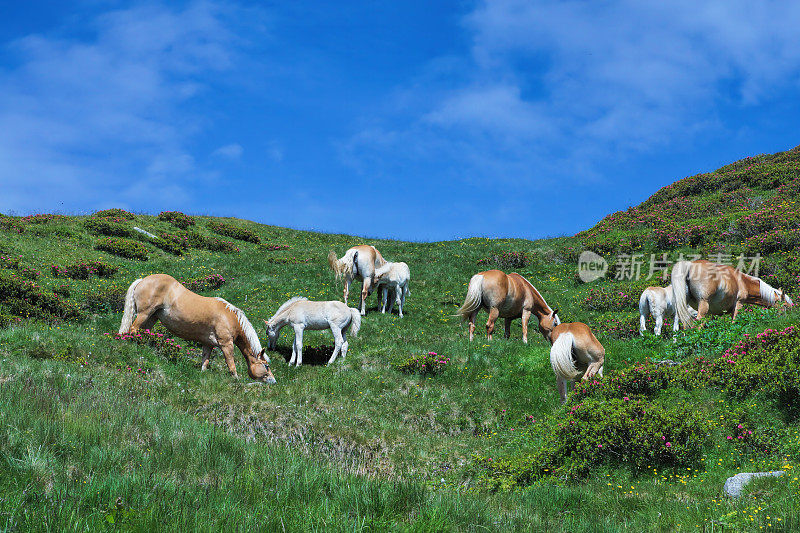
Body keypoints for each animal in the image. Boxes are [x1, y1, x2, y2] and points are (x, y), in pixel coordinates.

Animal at [117, 274, 276, 382]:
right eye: (266, 366)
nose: (273, 381)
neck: (230, 317)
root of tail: (142, 280)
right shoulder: (226, 344)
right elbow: (231, 364)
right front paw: (236, 380)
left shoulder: (208, 344)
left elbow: (205, 361)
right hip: (144, 314)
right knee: (134, 329)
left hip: (152, 317)